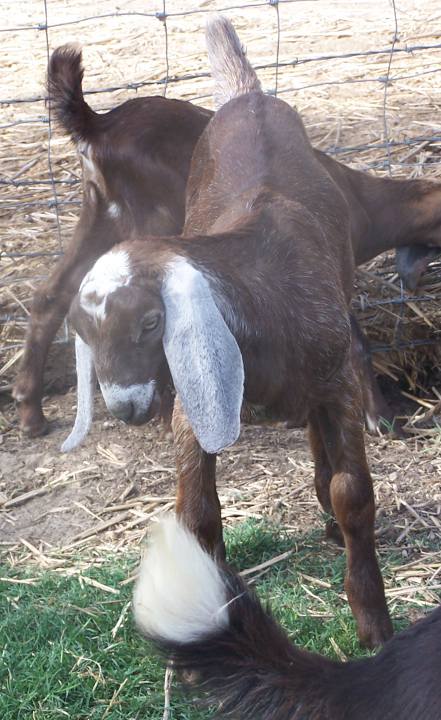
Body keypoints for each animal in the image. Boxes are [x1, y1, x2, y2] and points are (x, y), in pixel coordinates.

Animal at [63, 16, 390, 648]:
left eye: (150, 321)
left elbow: (353, 492)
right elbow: (198, 510)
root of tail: (248, 98)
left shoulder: (339, 378)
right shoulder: (193, 403)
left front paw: (374, 624)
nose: (126, 408)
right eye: (84, 331)